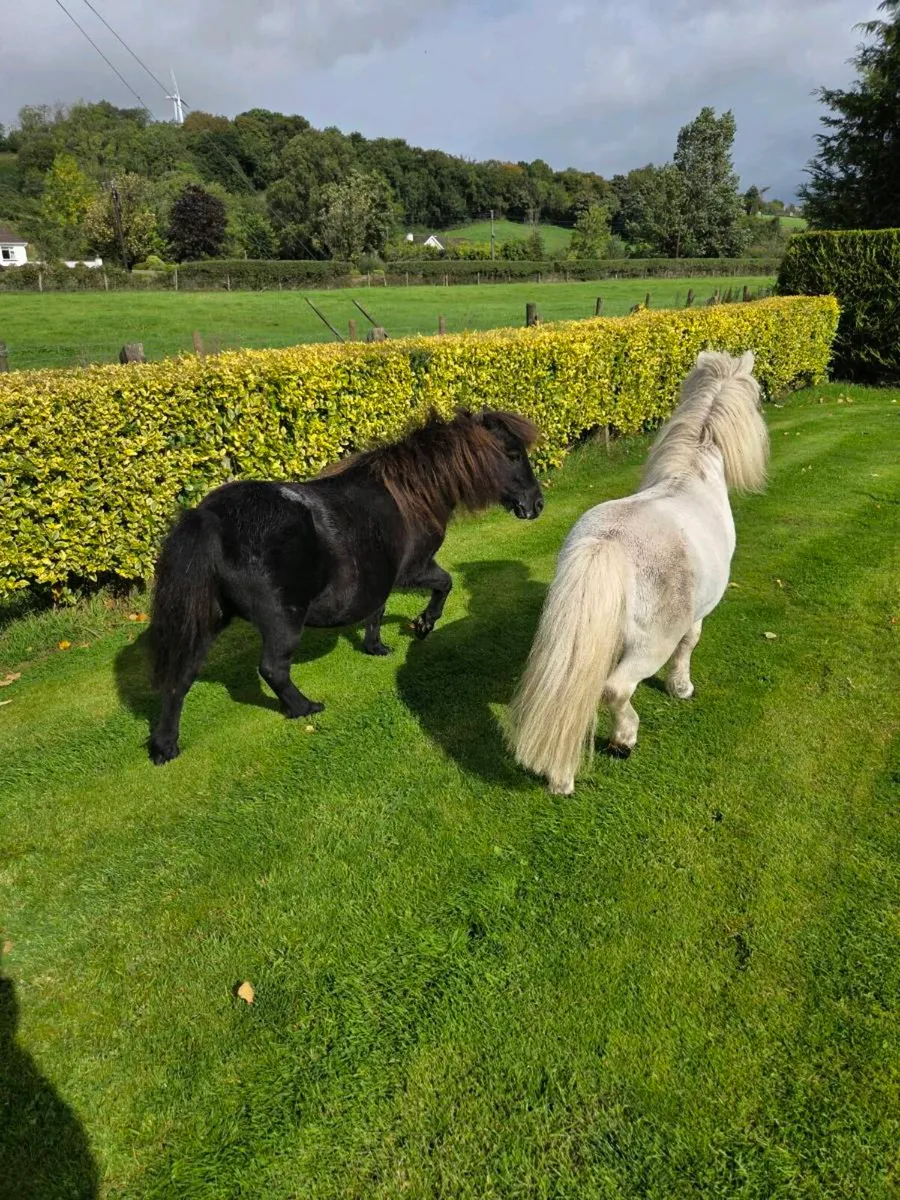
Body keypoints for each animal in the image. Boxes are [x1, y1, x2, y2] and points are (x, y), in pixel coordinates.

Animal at [148, 407, 544, 764]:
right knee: (273, 668)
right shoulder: (414, 570)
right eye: (512, 455)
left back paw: (165, 747)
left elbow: (377, 611)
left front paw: (376, 646)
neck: (412, 492)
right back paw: (304, 707)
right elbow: (444, 585)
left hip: (209, 620)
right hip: (282, 620)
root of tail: (210, 517)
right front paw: (422, 625)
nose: (536, 504)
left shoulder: (381, 578)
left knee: (179, 677)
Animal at [507, 349, 769, 796]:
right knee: (615, 689)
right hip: (650, 646)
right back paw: (623, 740)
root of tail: (609, 544)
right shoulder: (696, 616)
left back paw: (561, 778)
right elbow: (689, 646)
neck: (692, 475)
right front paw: (681, 688)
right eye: (756, 399)